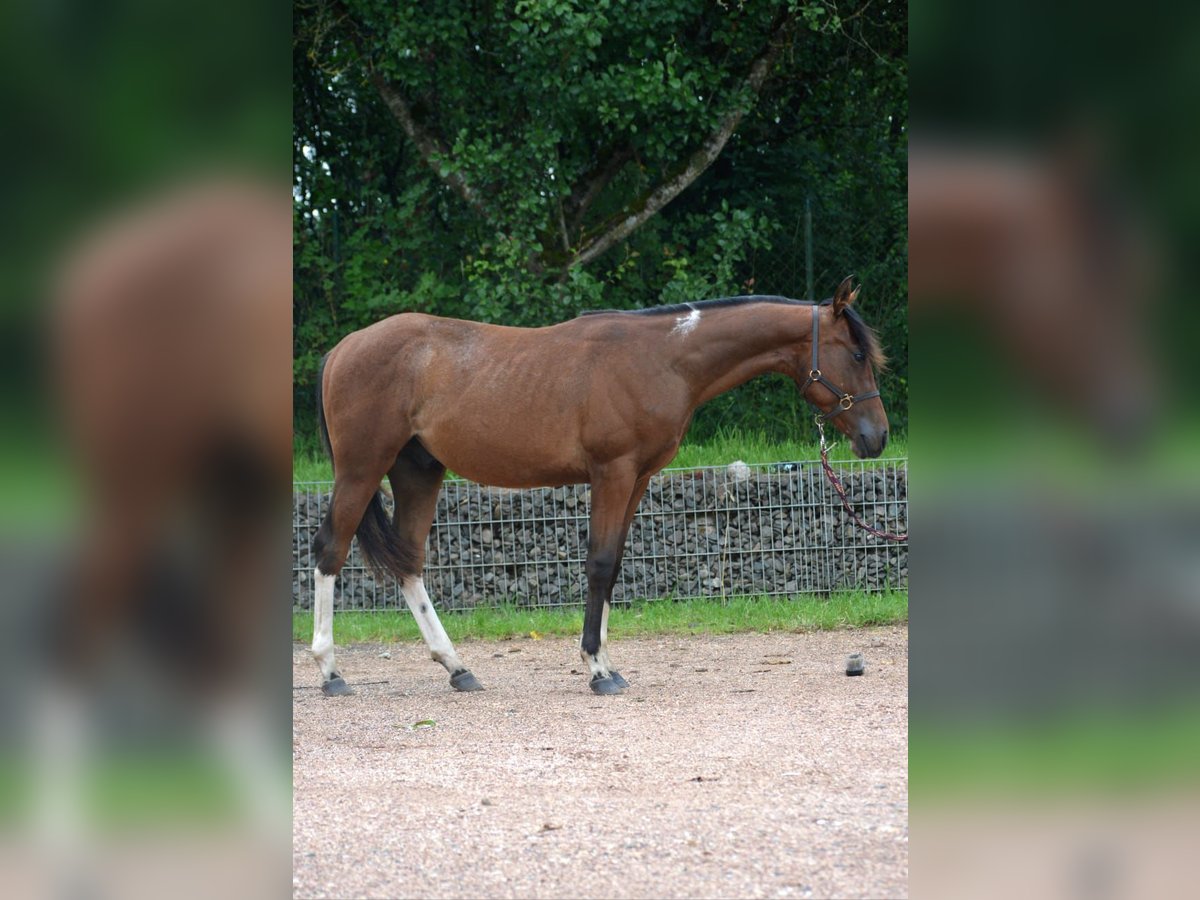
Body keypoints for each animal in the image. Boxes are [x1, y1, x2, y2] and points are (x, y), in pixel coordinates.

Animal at [309, 274, 892, 696]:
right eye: (856, 354)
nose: (877, 436)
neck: (663, 358)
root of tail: (341, 350)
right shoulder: (612, 473)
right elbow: (599, 563)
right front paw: (595, 669)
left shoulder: (636, 480)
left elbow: (611, 568)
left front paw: (609, 664)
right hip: (362, 468)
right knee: (330, 551)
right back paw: (332, 673)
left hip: (418, 471)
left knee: (408, 564)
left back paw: (457, 668)